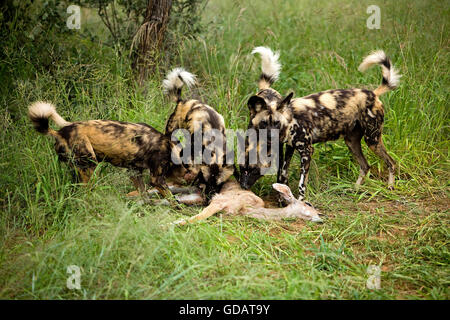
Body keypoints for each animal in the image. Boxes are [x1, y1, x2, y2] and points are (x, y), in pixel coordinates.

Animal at [28, 101, 183, 199]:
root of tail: (59, 133)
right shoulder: (157, 179)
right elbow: (173, 200)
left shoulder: (134, 173)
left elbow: (144, 196)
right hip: (90, 166)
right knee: (87, 192)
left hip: (81, 168)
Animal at [239, 47, 400, 200]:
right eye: (263, 124)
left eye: (277, 123)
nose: (243, 186)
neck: (291, 121)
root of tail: (373, 94)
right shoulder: (289, 148)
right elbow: (283, 174)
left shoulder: (307, 151)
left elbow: (301, 184)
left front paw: (301, 201)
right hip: (352, 142)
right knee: (365, 166)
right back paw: (355, 189)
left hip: (372, 140)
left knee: (391, 163)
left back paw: (390, 187)